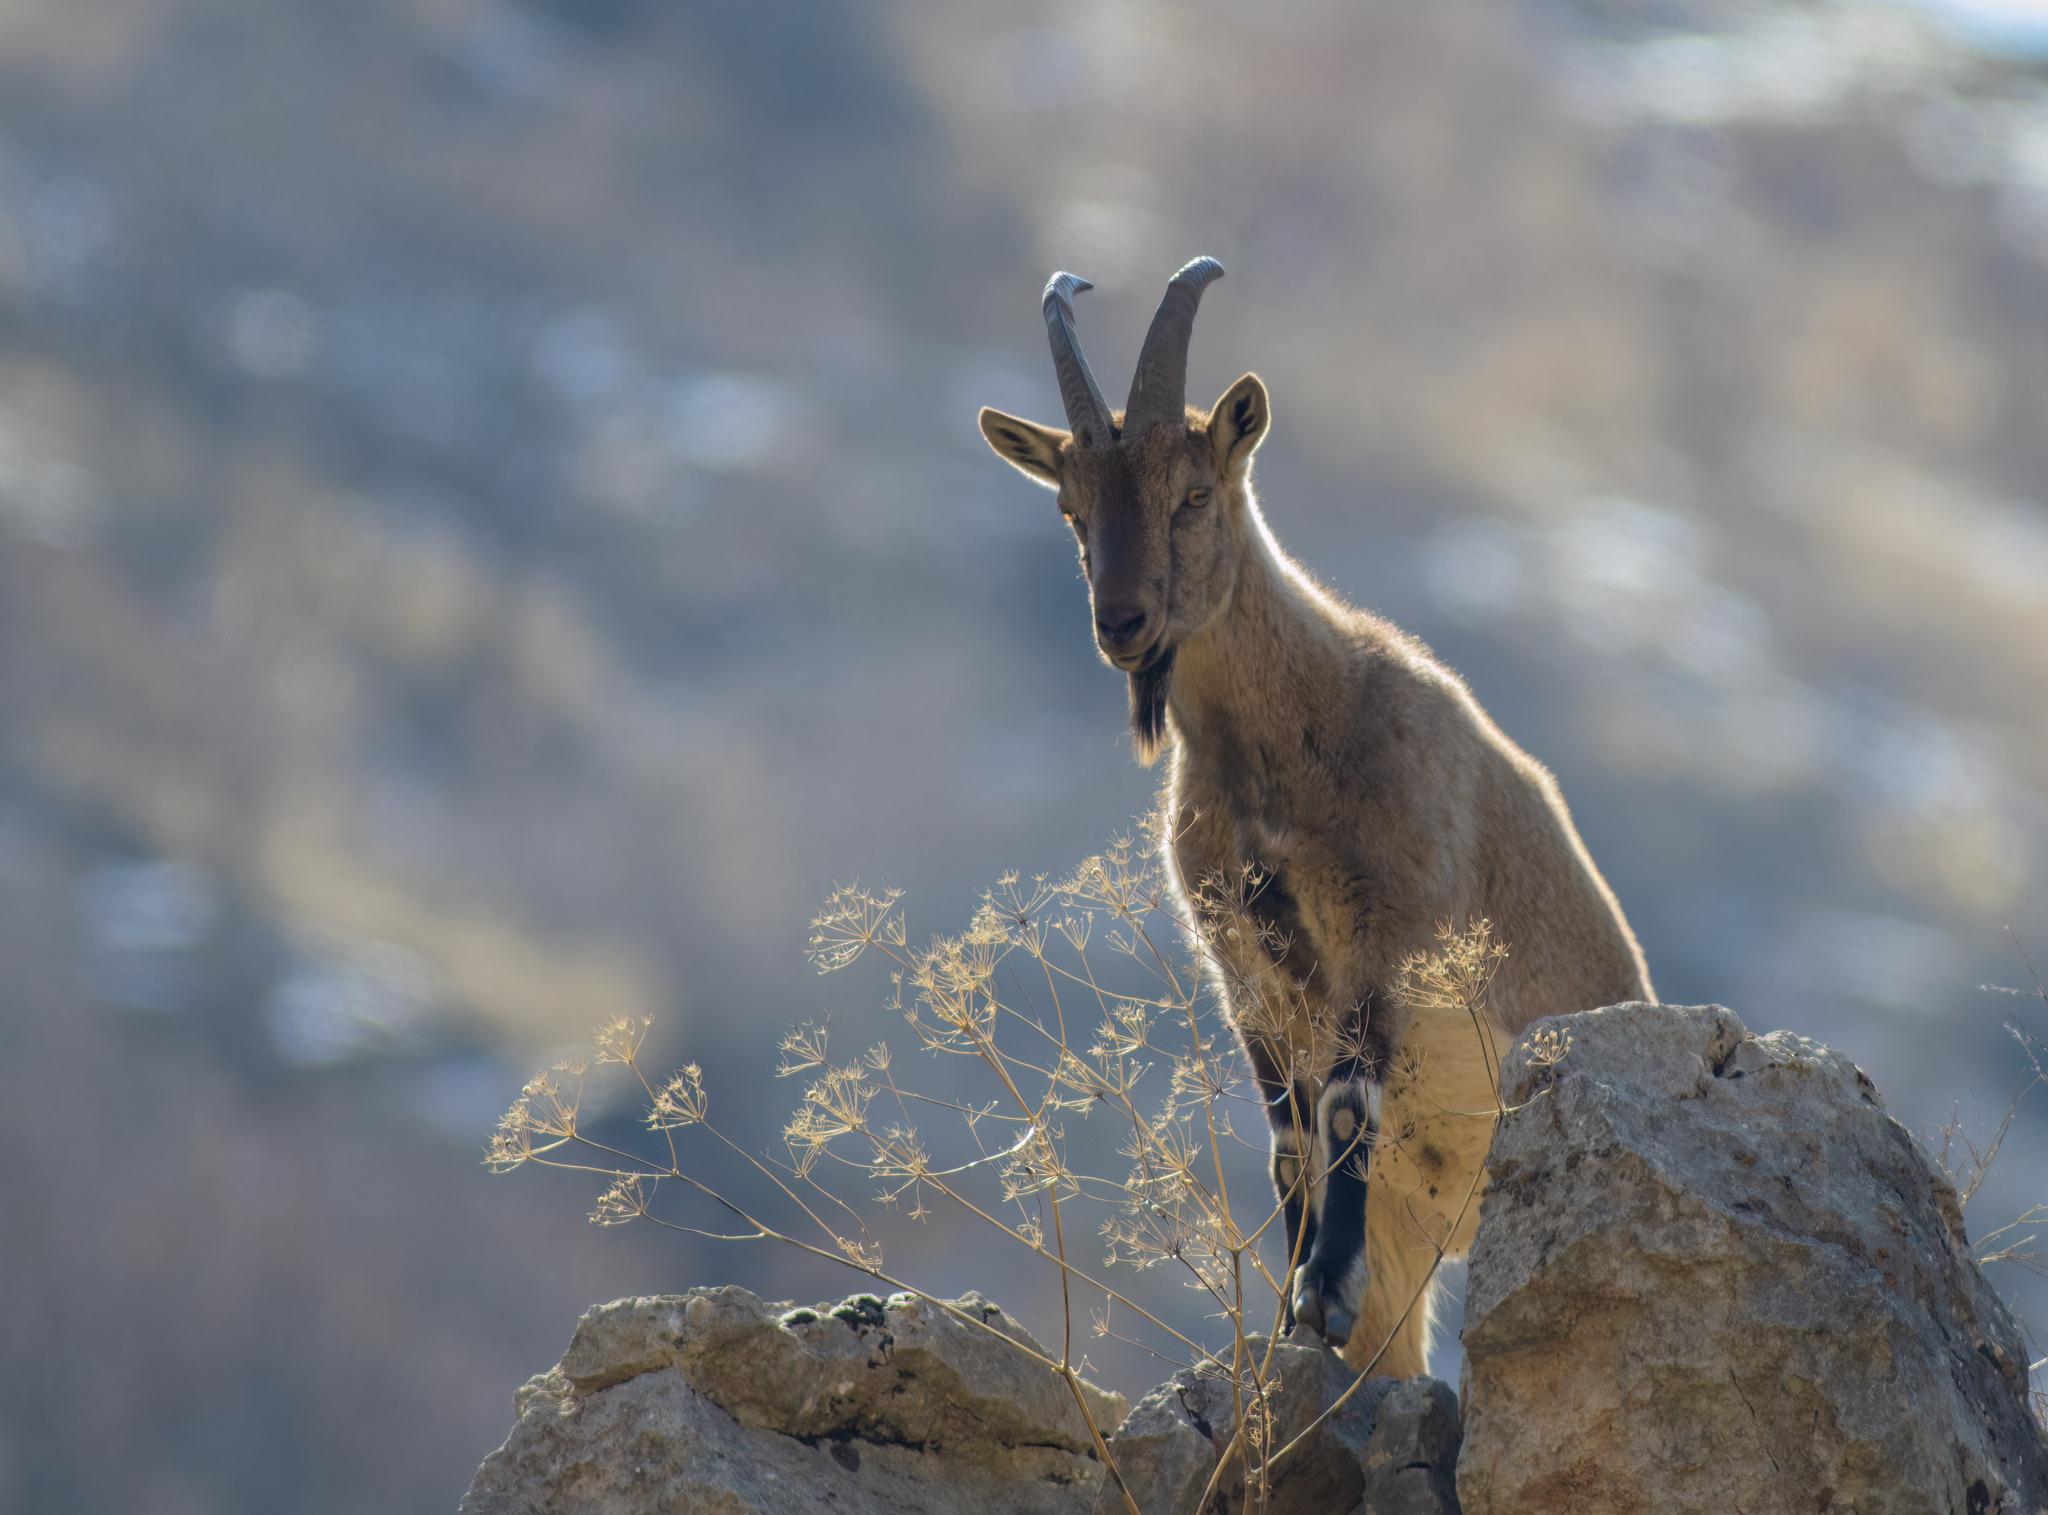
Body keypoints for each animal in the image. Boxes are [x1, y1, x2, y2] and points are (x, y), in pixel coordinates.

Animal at [976, 257, 1655, 1378]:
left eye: (1193, 492)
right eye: (1071, 510)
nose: (1122, 624)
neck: (1292, 736)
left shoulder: (1389, 936)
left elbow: (1340, 1109)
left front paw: (1320, 1293)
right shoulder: (1244, 969)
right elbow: (1288, 1141)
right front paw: (1298, 1308)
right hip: (1412, 1242)